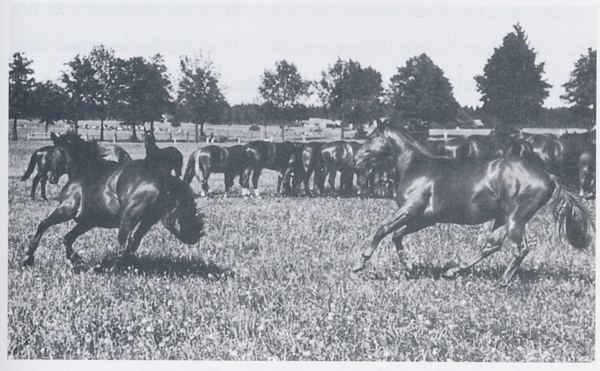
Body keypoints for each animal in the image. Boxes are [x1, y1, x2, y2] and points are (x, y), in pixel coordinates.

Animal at [22, 132, 204, 272]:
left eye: (56, 154)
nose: (51, 177)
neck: (85, 172)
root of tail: (162, 178)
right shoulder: (87, 221)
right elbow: (68, 238)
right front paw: (75, 259)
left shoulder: (66, 210)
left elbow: (44, 224)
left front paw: (28, 258)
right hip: (147, 220)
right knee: (132, 243)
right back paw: (108, 265)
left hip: (128, 219)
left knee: (123, 245)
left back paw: (107, 267)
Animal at [354, 123, 592, 286]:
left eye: (371, 137)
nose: (356, 160)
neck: (418, 166)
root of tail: (549, 176)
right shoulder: (424, 218)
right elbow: (396, 235)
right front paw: (408, 265)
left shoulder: (409, 211)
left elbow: (382, 230)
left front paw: (360, 263)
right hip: (502, 218)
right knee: (492, 246)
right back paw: (454, 271)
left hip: (515, 217)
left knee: (520, 249)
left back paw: (501, 281)